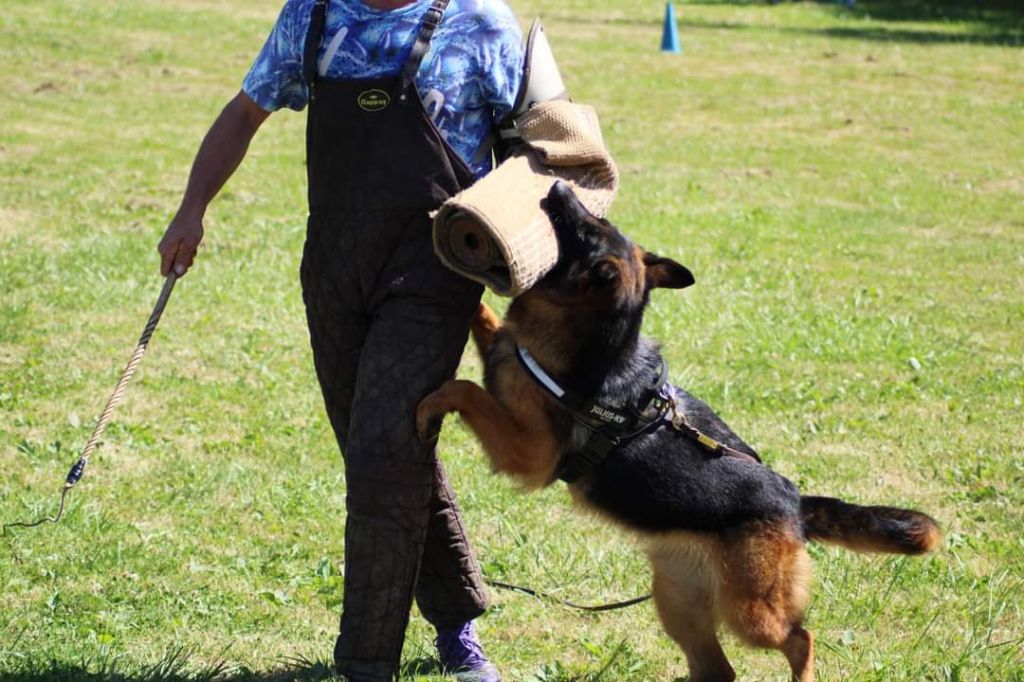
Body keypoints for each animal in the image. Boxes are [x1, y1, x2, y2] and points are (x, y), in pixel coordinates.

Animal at [413, 182, 937, 679]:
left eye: (584, 229)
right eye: (596, 221)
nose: (560, 187)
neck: (593, 336)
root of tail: (795, 502)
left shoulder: (530, 454)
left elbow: (465, 388)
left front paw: (431, 405)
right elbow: (490, 327)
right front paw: (473, 298)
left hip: (749, 614)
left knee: (800, 639)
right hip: (677, 599)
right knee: (718, 670)